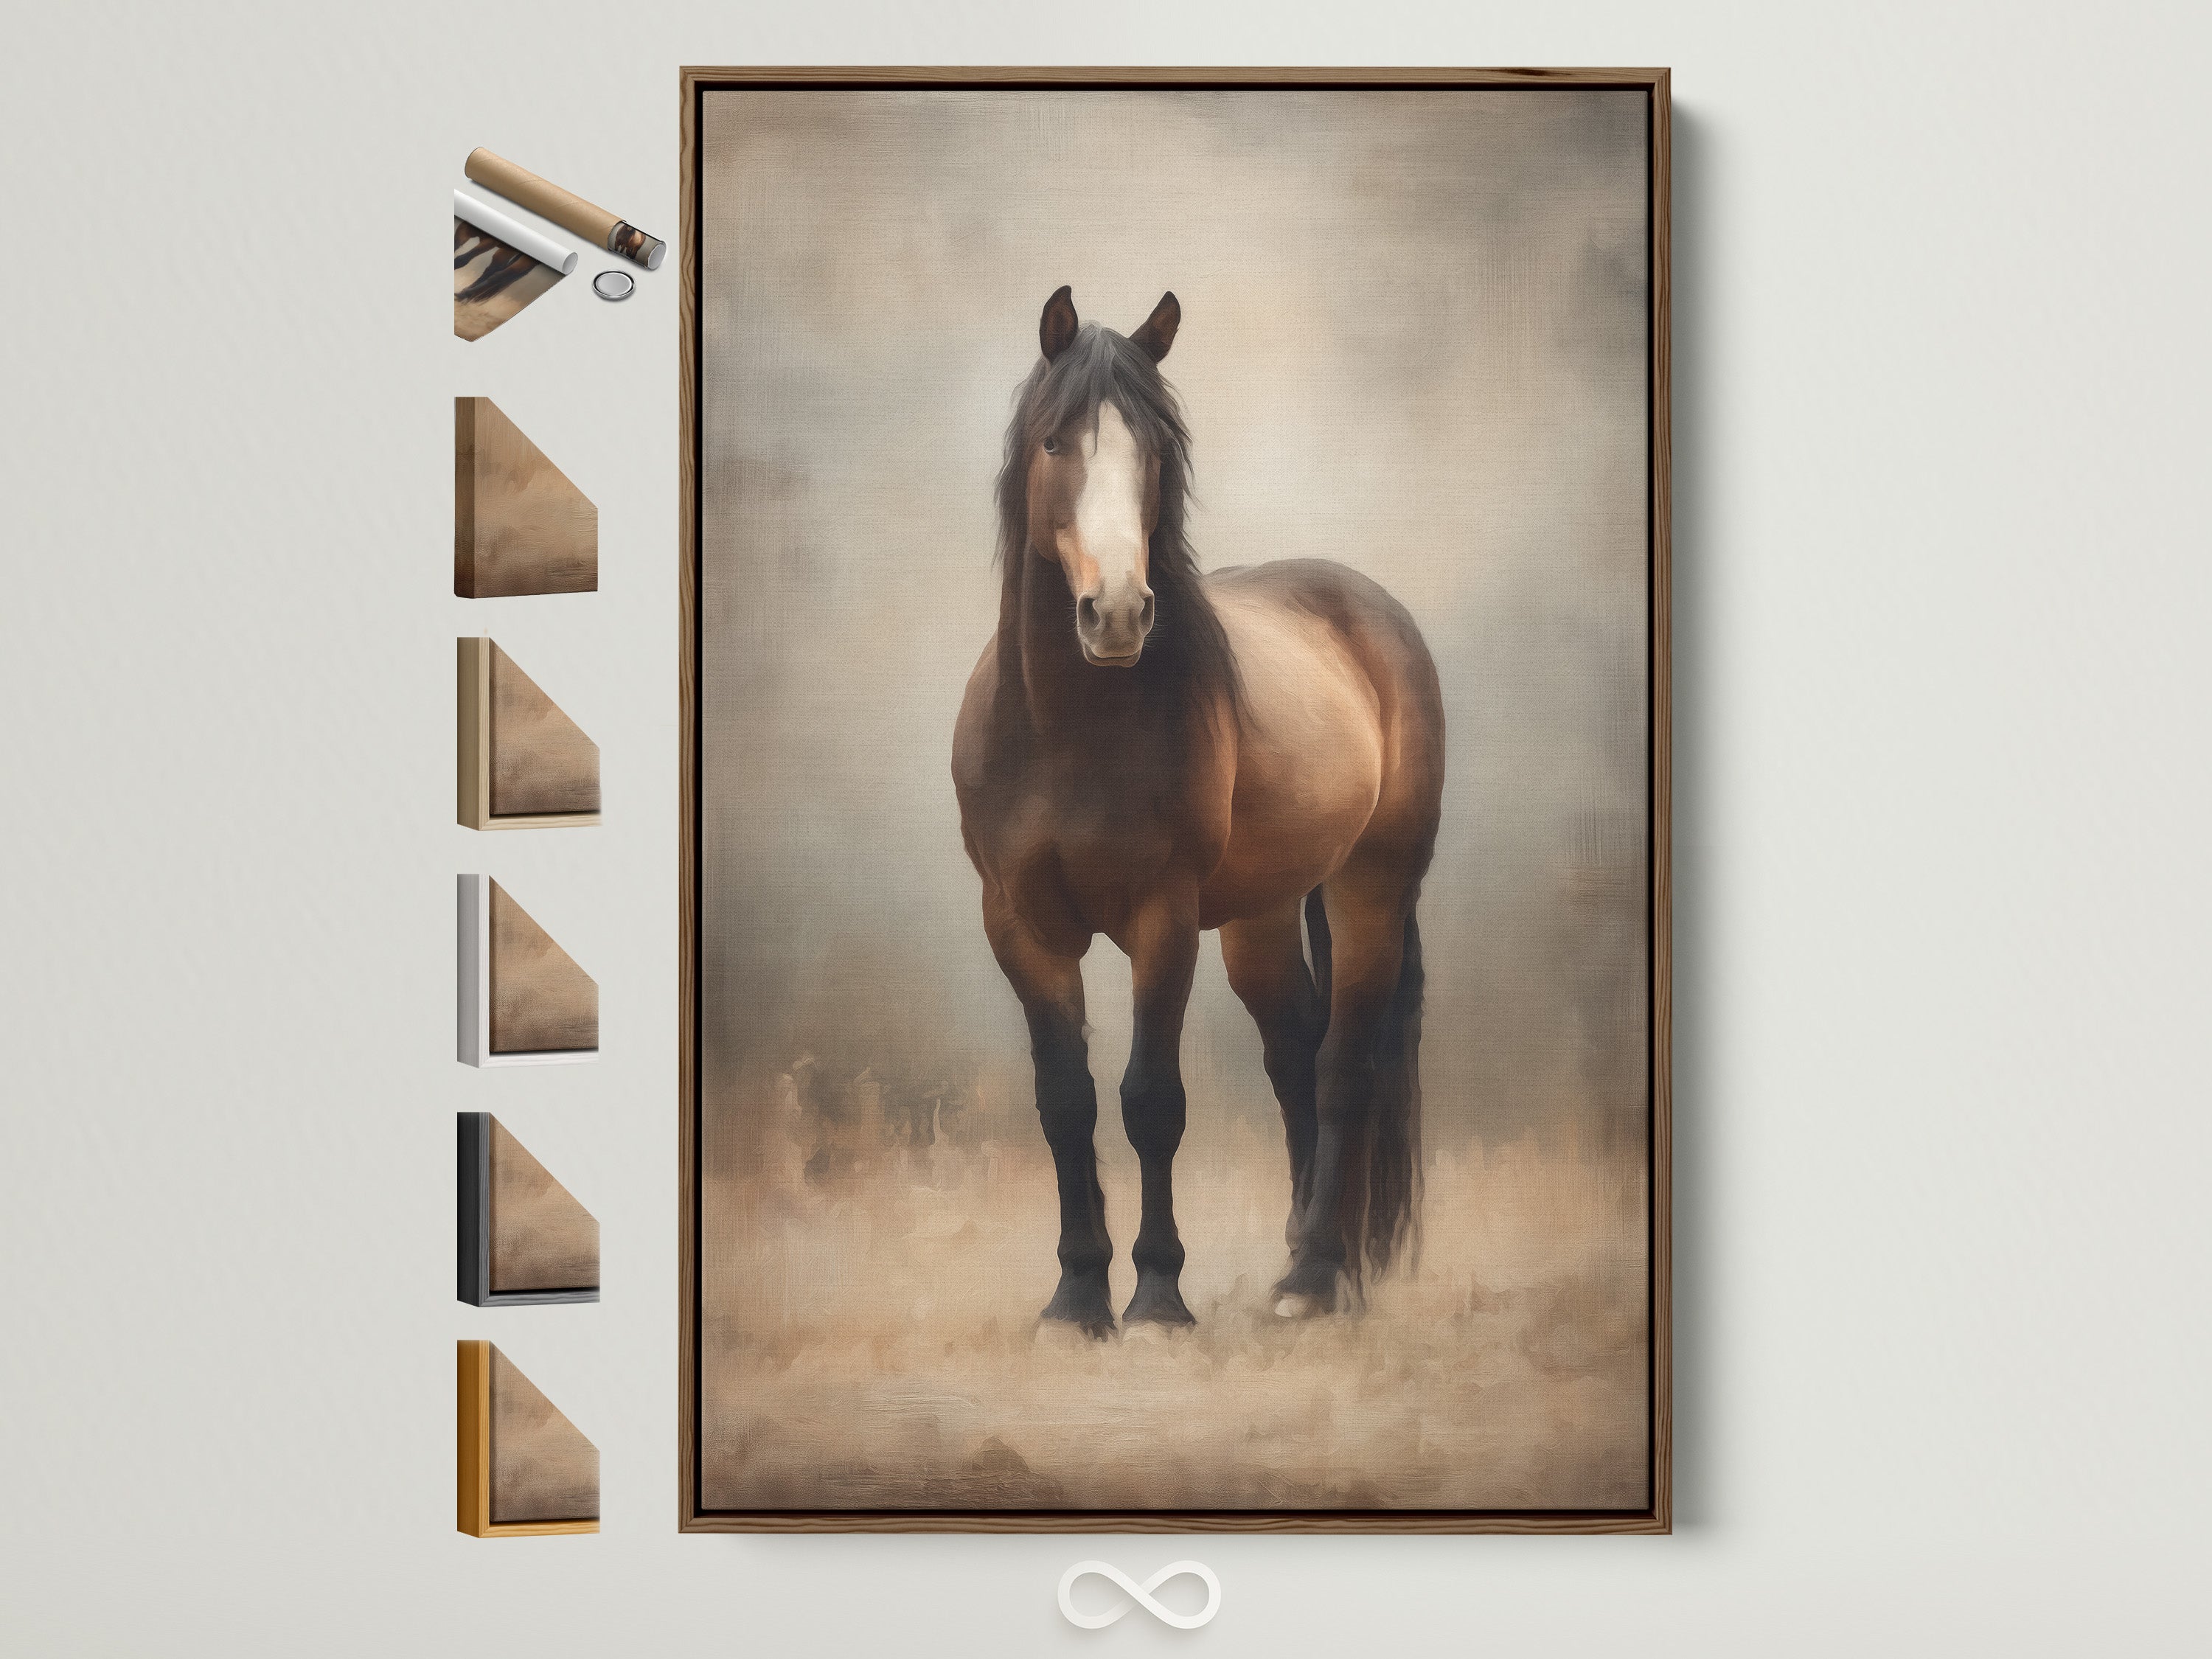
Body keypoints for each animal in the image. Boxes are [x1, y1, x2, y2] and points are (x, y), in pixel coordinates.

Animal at [952, 286, 1446, 1335]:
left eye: (1155, 449)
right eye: (1055, 441)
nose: (1116, 614)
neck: (1071, 731)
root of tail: (1369, 609)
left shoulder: (1162, 921)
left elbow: (1151, 1101)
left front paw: (1157, 1298)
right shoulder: (1017, 926)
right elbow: (1066, 1100)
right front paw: (1076, 1298)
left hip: (1371, 890)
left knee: (1343, 1063)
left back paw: (1316, 1282)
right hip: (1261, 917)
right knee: (1295, 1052)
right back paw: (1305, 1254)